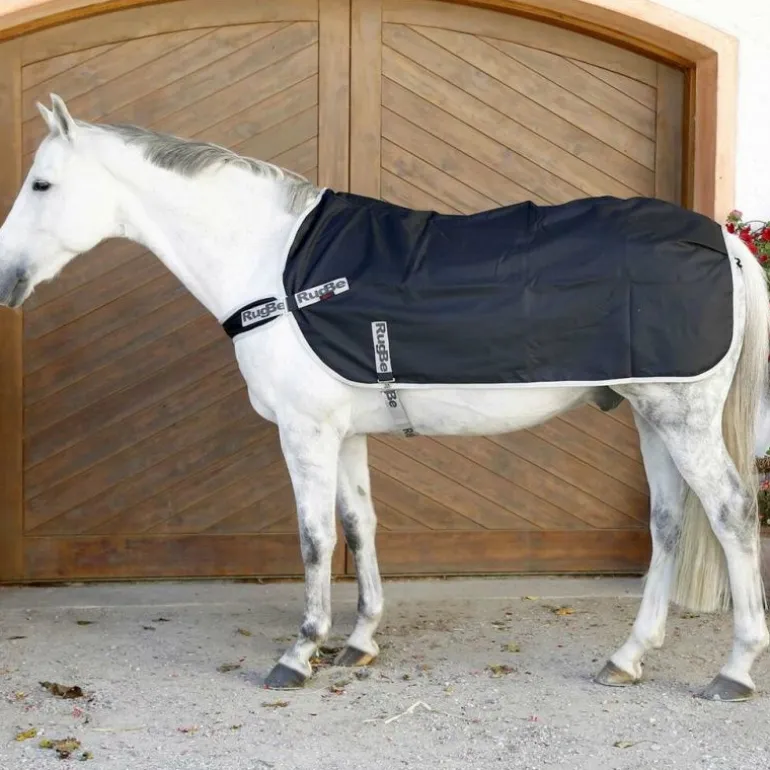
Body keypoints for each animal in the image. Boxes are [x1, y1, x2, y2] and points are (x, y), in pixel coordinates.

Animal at [0, 94, 768, 702]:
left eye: (41, 183)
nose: (5, 278)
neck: (276, 270)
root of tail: (724, 242)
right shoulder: (345, 433)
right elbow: (359, 525)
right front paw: (359, 641)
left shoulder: (305, 431)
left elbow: (314, 538)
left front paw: (300, 651)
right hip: (651, 415)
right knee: (668, 524)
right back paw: (627, 658)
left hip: (681, 417)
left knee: (731, 513)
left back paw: (734, 670)